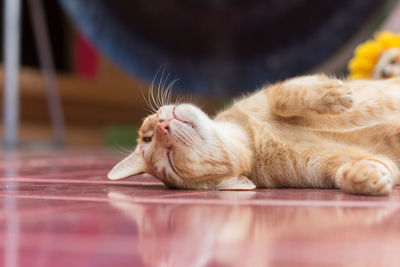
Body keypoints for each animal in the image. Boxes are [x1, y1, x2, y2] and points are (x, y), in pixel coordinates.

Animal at [108, 74, 400, 196]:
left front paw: (334, 94)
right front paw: (364, 177)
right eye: (169, 160)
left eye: (147, 137)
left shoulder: (278, 91)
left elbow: (284, 97)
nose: (161, 127)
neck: (254, 137)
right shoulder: (341, 165)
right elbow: (360, 169)